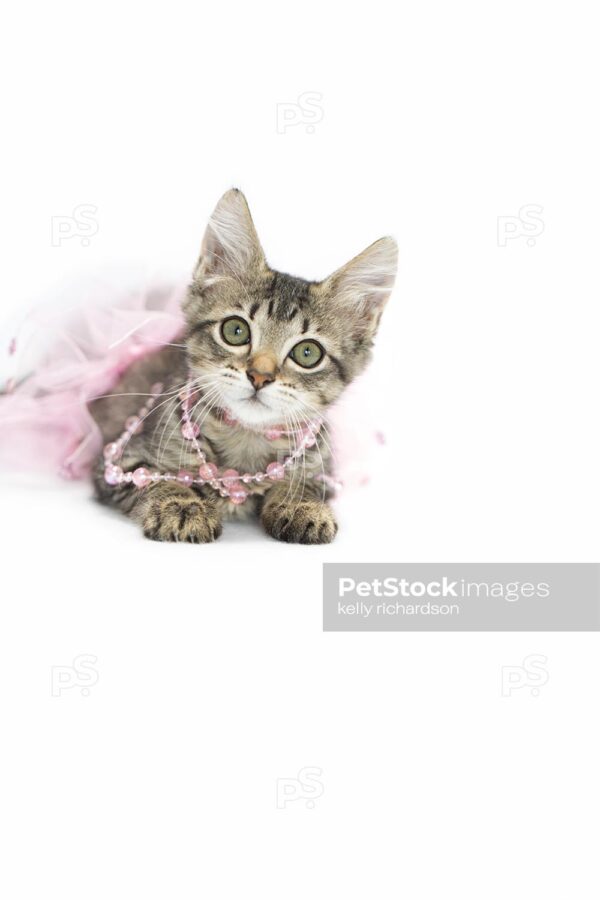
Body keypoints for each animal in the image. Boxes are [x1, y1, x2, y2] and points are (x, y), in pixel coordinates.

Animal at [89, 189, 396, 540]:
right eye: (235, 331)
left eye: (307, 353)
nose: (259, 376)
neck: (246, 436)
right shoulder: (118, 462)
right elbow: (158, 481)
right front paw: (183, 505)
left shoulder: (322, 470)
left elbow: (304, 485)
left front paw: (299, 505)